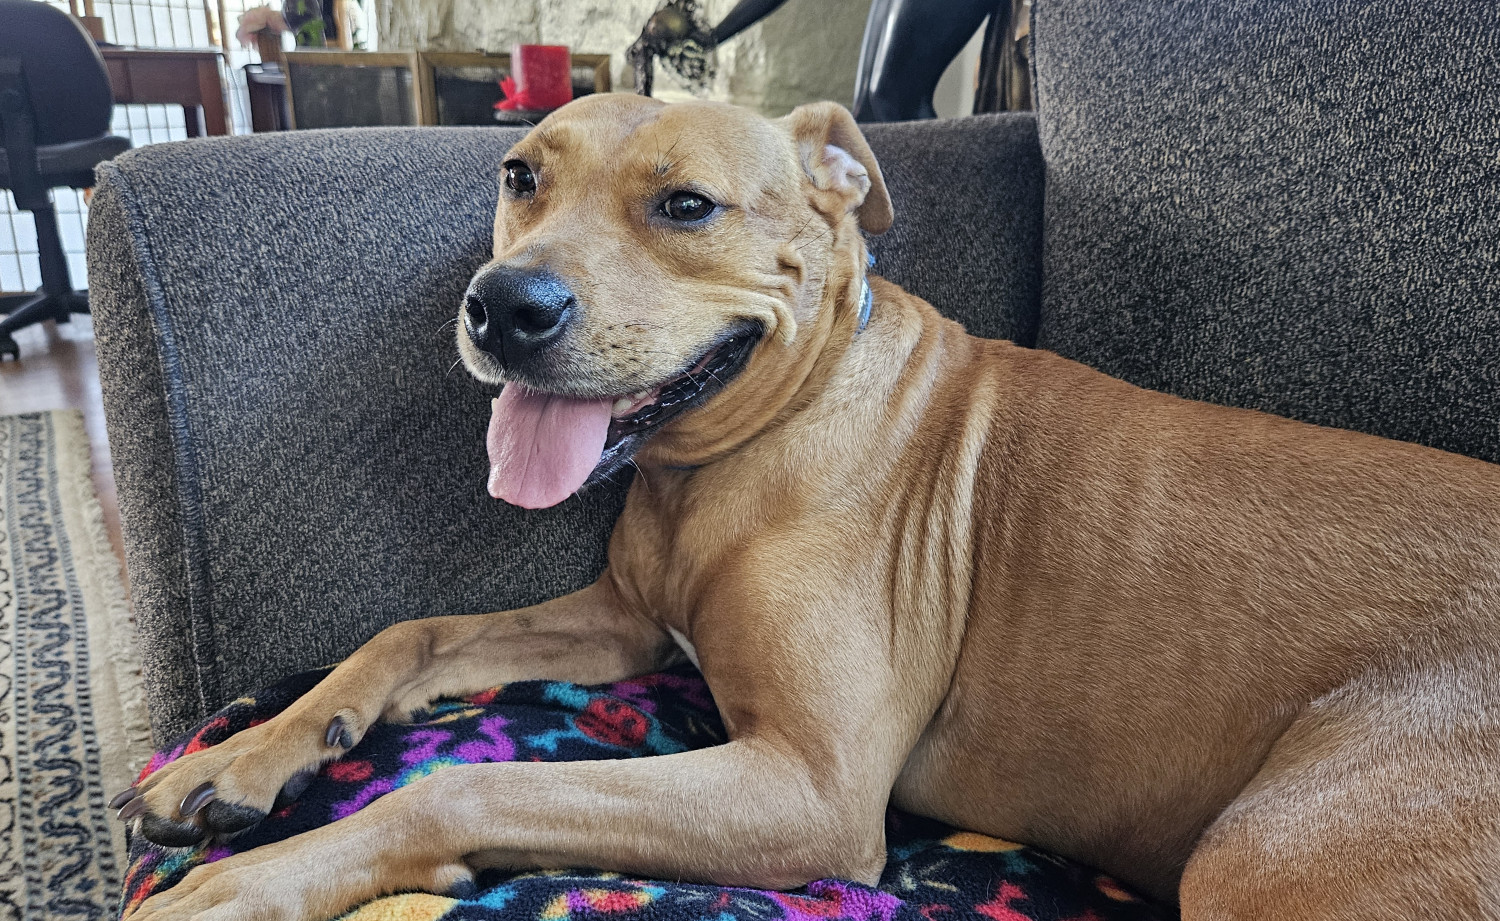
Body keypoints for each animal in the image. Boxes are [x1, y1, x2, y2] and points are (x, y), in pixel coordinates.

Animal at [117, 95, 1500, 921]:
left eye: (687, 205)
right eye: (518, 176)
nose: (502, 306)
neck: (725, 460)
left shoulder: (807, 790)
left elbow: (460, 789)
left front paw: (243, 886)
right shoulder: (625, 625)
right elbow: (408, 635)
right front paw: (253, 754)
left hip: (1277, 851)